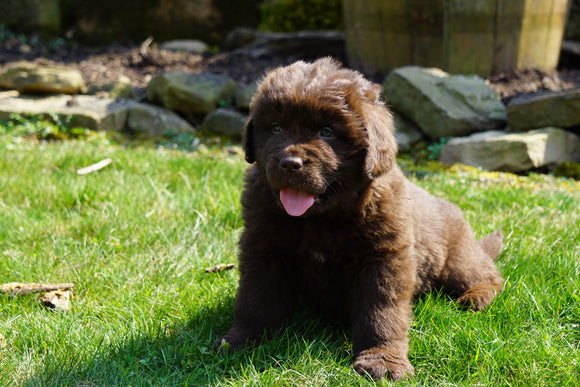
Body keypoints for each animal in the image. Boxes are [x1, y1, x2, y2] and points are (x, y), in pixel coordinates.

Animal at [215, 58, 506, 382]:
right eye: (276, 127)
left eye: (327, 132)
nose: (290, 164)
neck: (321, 219)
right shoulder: (263, 247)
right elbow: (255, 298)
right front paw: (242, 340)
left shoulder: (384, 258)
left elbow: (381, 312)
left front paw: (383, 361)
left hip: (456, 259)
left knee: (489, 276)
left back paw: (476, 297)